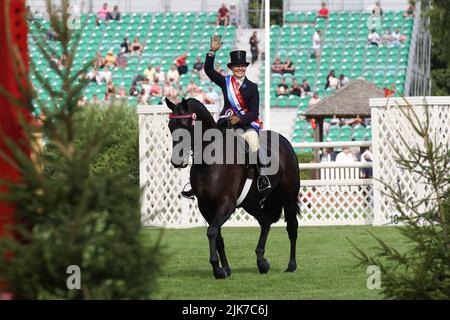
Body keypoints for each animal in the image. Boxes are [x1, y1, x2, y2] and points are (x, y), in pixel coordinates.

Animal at [164, 99, 298, 278]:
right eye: (170, 125)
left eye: (186, 124)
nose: (177, 162)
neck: (210, 160)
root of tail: (284, 142)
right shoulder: (205, 206)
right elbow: (217, 236)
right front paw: (225, 269)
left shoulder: (226, 204)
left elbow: (212, 231)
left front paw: (217, 269)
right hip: (250, 203)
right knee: (265, 222)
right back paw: (262, 262)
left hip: (289, 197)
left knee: (292, 228)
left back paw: (291, 265)